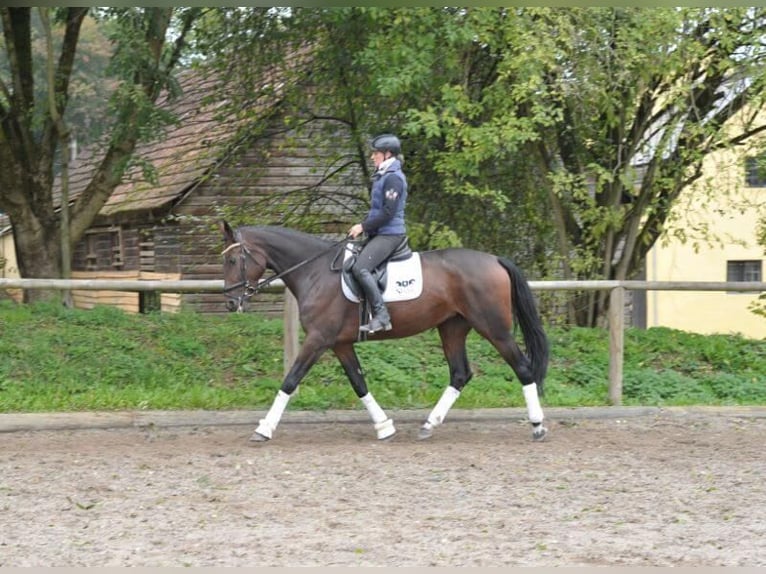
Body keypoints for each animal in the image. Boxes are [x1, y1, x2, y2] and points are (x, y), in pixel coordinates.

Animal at [219, 223, 548, 444]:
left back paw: (537, 426)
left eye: (233, 260)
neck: (315, 272)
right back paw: (429, 425)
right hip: (452, 327)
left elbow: (290, 381)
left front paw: (263, 428)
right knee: (460, 374)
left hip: (494, 328)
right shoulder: (340, 344)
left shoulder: (318, 340)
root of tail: (494, 259)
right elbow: (359, 383)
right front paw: (384, 427)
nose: (232, 302)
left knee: (522, 367)